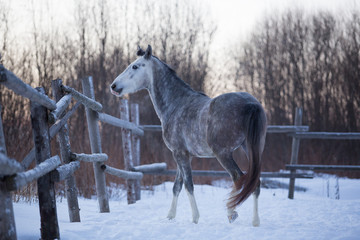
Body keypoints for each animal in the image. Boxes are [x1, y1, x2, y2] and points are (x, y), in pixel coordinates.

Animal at [110, 45, 268, 227]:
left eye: (135, 66)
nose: (113, 86)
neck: (176, 104)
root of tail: (251, 104)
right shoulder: (184, 155)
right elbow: (177, 186)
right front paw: (170, 216)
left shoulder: (179, 154)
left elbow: (188, 185)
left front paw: (195, 218)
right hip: (251, 149)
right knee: (255, 181)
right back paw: (255, 221)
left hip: (223, 154)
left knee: (238, 178)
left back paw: (231, 213)